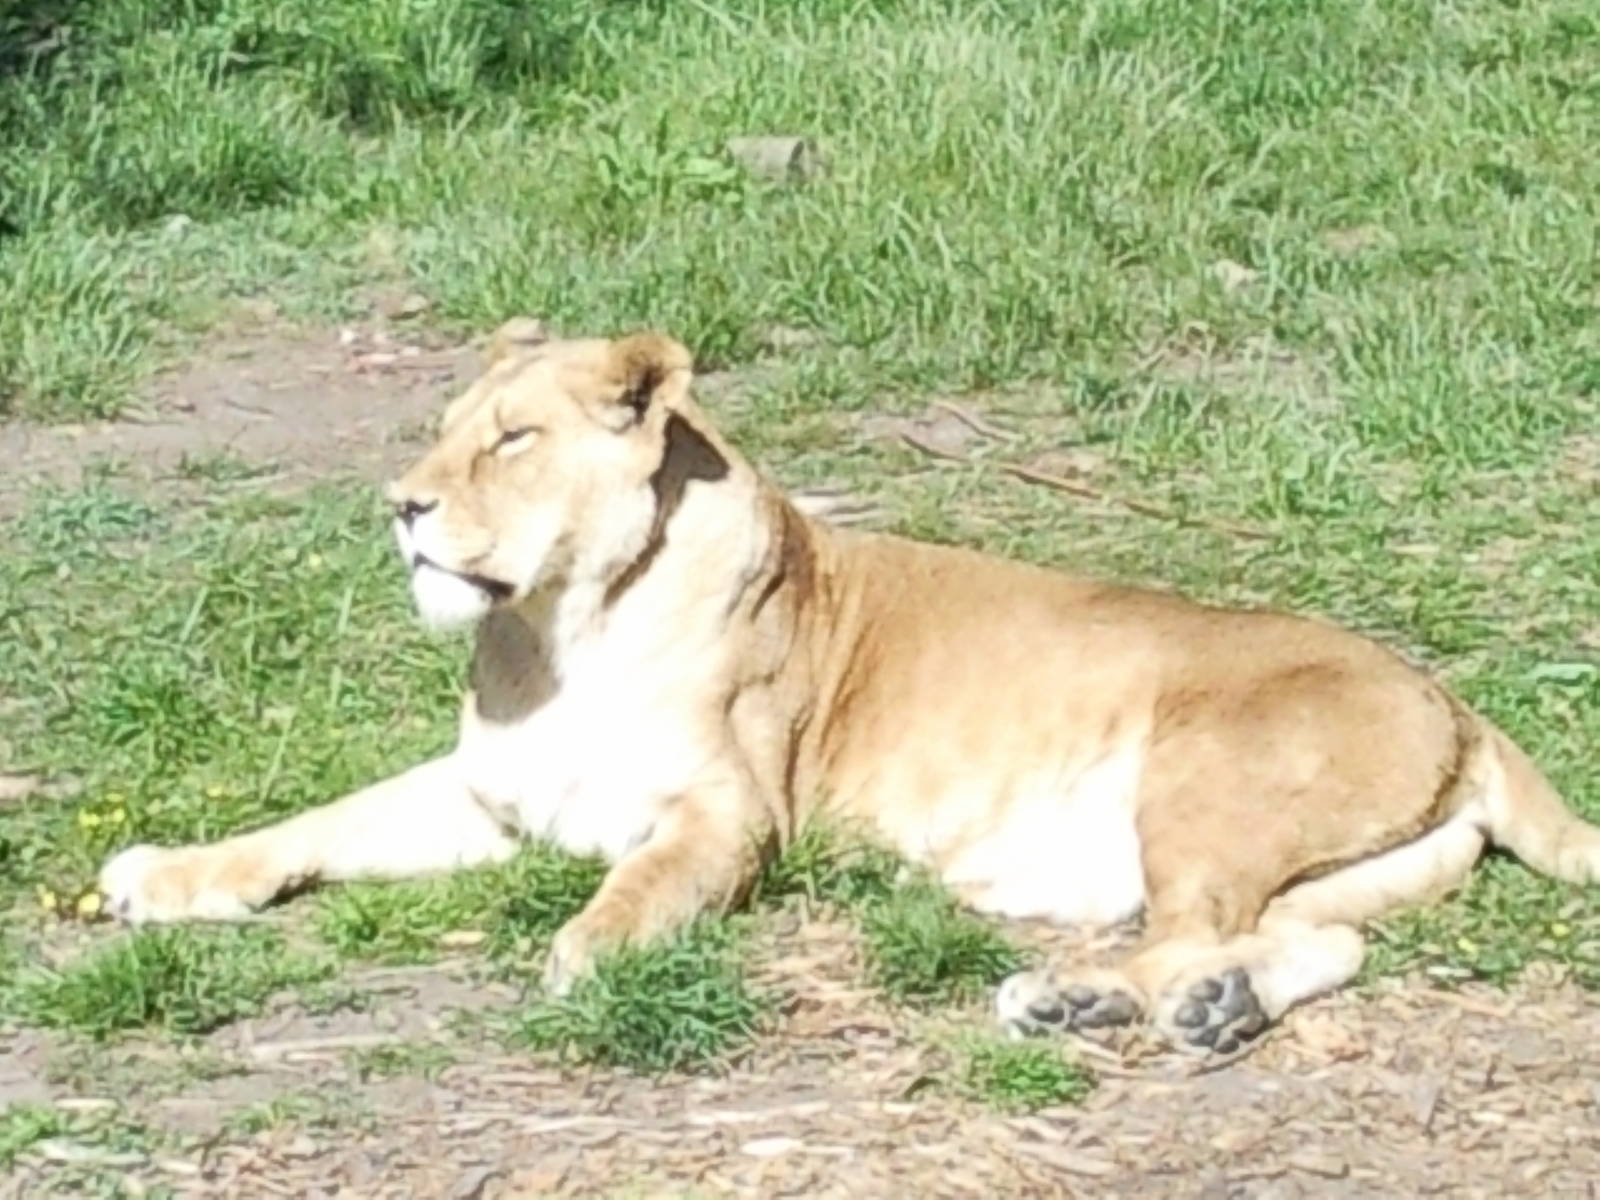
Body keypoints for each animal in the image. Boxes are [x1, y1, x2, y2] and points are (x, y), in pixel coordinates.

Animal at [99, 322, 1600, 1057]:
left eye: (511, 440)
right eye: (446, 432)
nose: (400, 506)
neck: (554, 627)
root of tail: (1459, 704)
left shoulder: (729, 814)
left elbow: (642, 884)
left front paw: (588, 954)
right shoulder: (496, 792)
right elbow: (313, 824)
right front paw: (166, 874)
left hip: (1204, 781)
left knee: (1189, 929)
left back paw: (1069, 1001)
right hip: (1317, 869)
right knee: (1311, 943)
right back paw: (1190, 1016)